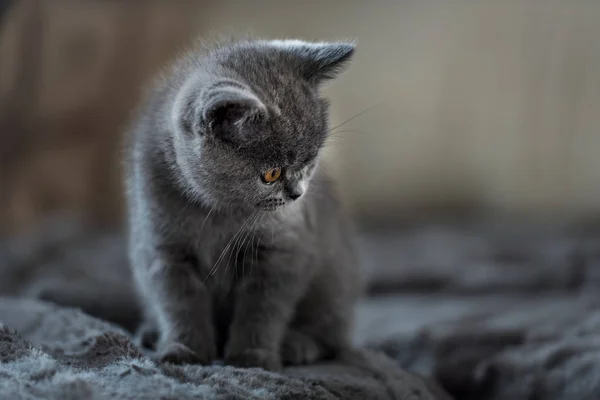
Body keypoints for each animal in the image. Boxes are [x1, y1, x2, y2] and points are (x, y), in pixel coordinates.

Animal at [124, 39, 360, 370]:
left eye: (309, 162)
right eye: (271, 174)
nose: (298, 194)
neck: (217, 212)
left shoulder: (282, 250)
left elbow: (262, 309)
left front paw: (252, 357)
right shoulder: (164, 248)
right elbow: (178, 303)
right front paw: (184, 350)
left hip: (335, 280)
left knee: (333, 334)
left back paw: (296, 345)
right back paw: (149, 332)